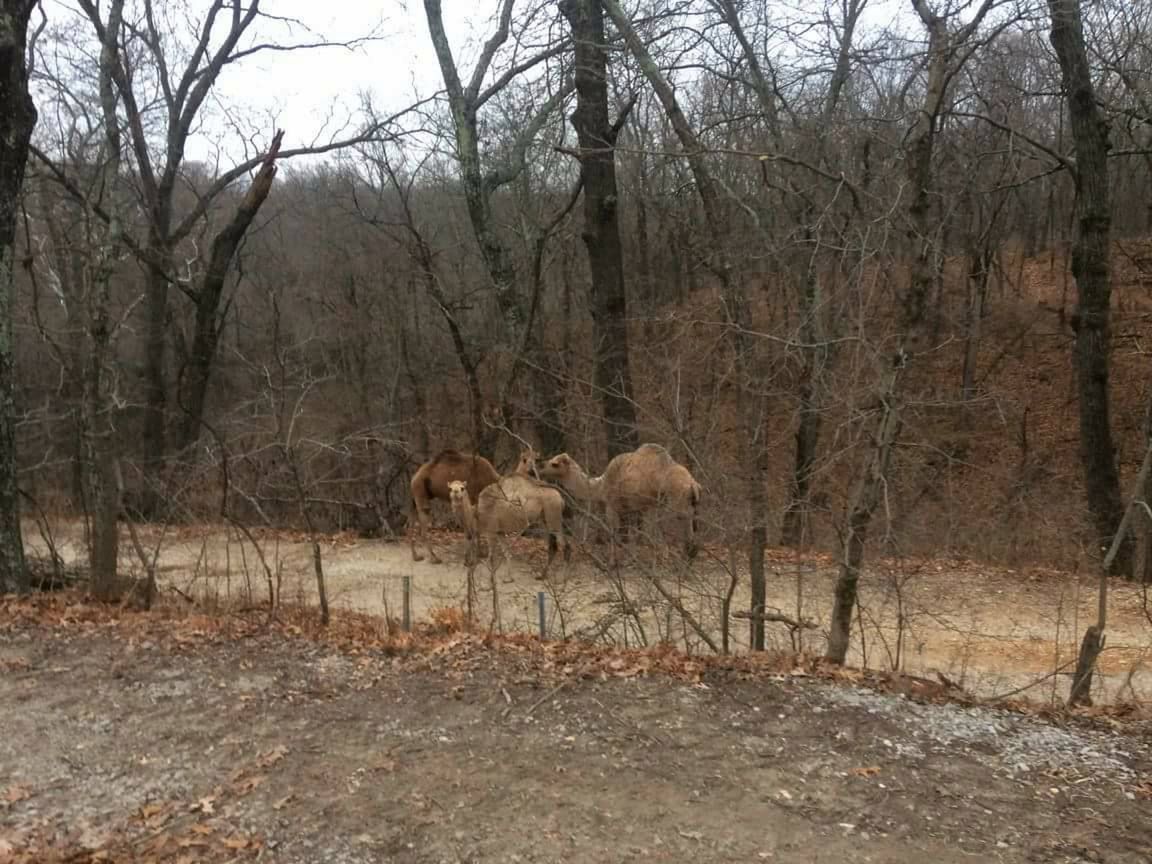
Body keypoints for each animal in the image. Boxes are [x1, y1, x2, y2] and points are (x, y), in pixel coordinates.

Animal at [536, 446, 700, 562]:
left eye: (555, 464)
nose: (540, 467)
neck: (601, 485)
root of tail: (693, 484)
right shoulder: (634, 508)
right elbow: (633, 533)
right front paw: (631, 559)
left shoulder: (612, 505)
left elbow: (614, 531)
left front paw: (612, 562)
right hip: (684, 503)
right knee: (686, 520)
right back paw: (688, 556)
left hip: (673, 502)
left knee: (678, 521)